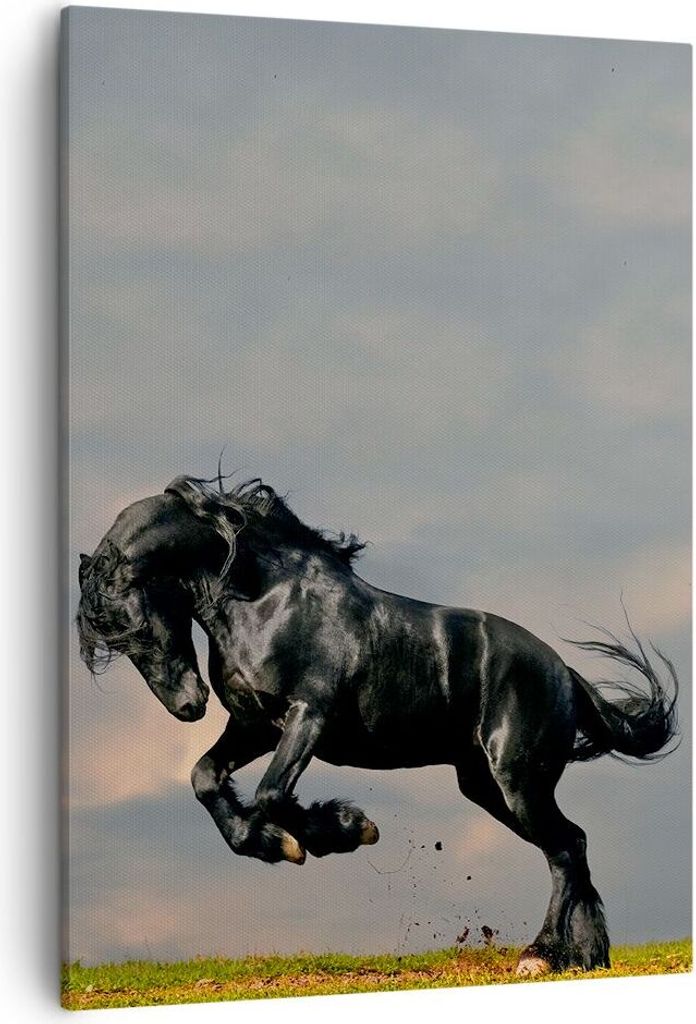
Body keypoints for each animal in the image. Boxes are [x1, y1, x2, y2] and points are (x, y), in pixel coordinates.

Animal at [76, 474, 679, 976]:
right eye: (112, 640)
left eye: (135, 625)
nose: (188, 706)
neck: (265, 598)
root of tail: (564, 673)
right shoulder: (255, 726)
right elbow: (205, 780)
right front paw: (274, 843)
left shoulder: (308, 716)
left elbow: (272, 793)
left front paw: (342, 829)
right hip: (485, 786)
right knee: (572, 845)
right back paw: (586, 955)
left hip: (518, 781)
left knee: (565, 848)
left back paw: (542, 954)